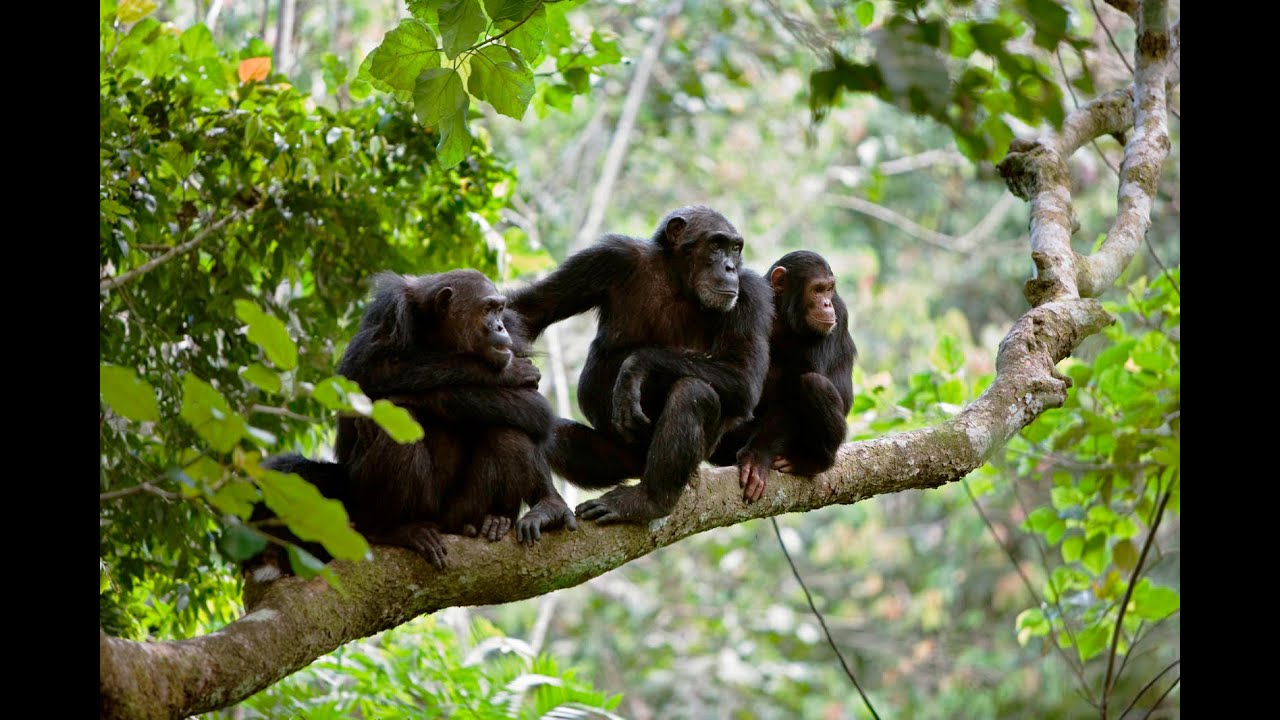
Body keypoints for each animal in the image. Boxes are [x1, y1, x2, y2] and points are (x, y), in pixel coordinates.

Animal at [245, 266, 576, 573]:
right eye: (486, 309)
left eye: (499, 309)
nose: (498, 326)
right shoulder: (389, 310)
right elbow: (365, 373)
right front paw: (504, 372)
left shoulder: (513, 331)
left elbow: (533, 407)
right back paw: (395, 530)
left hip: (459, 511)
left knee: (509, 427)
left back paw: (502, 517)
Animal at [506, 204, 768, 525]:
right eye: (716, 245)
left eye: (735, 248)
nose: (730, 267)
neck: (678, 279)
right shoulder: (607, 257)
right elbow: (528, 311)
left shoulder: (751, 294)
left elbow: (744, 376)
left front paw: (635, 367)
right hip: (618, 459)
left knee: (694, 393)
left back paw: (649, 501)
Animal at [711, 249, 860, 502]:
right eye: (817, 289)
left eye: (829, 289)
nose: (826, 303)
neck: (783, 315)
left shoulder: (838, 312)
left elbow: (794, 388)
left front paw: (757, 457)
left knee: (813, 383)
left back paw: (813, 462)